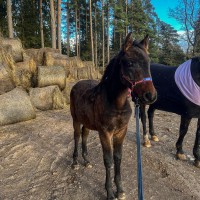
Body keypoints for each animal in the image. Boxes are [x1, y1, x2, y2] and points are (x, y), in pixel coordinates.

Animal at [69, 33, 157, 200]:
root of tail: (76, 84)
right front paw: (110, 192)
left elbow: (118, 158)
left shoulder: (121, 131)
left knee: (84, 135)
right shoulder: (105, 132)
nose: (150, 96)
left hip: (87, 123)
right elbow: (108, 160)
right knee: (77, 137)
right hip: (75, 120)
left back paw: (86, 160)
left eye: (149, 63)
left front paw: (120, 190)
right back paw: (75, 162)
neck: (117, 104)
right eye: (130, 63)